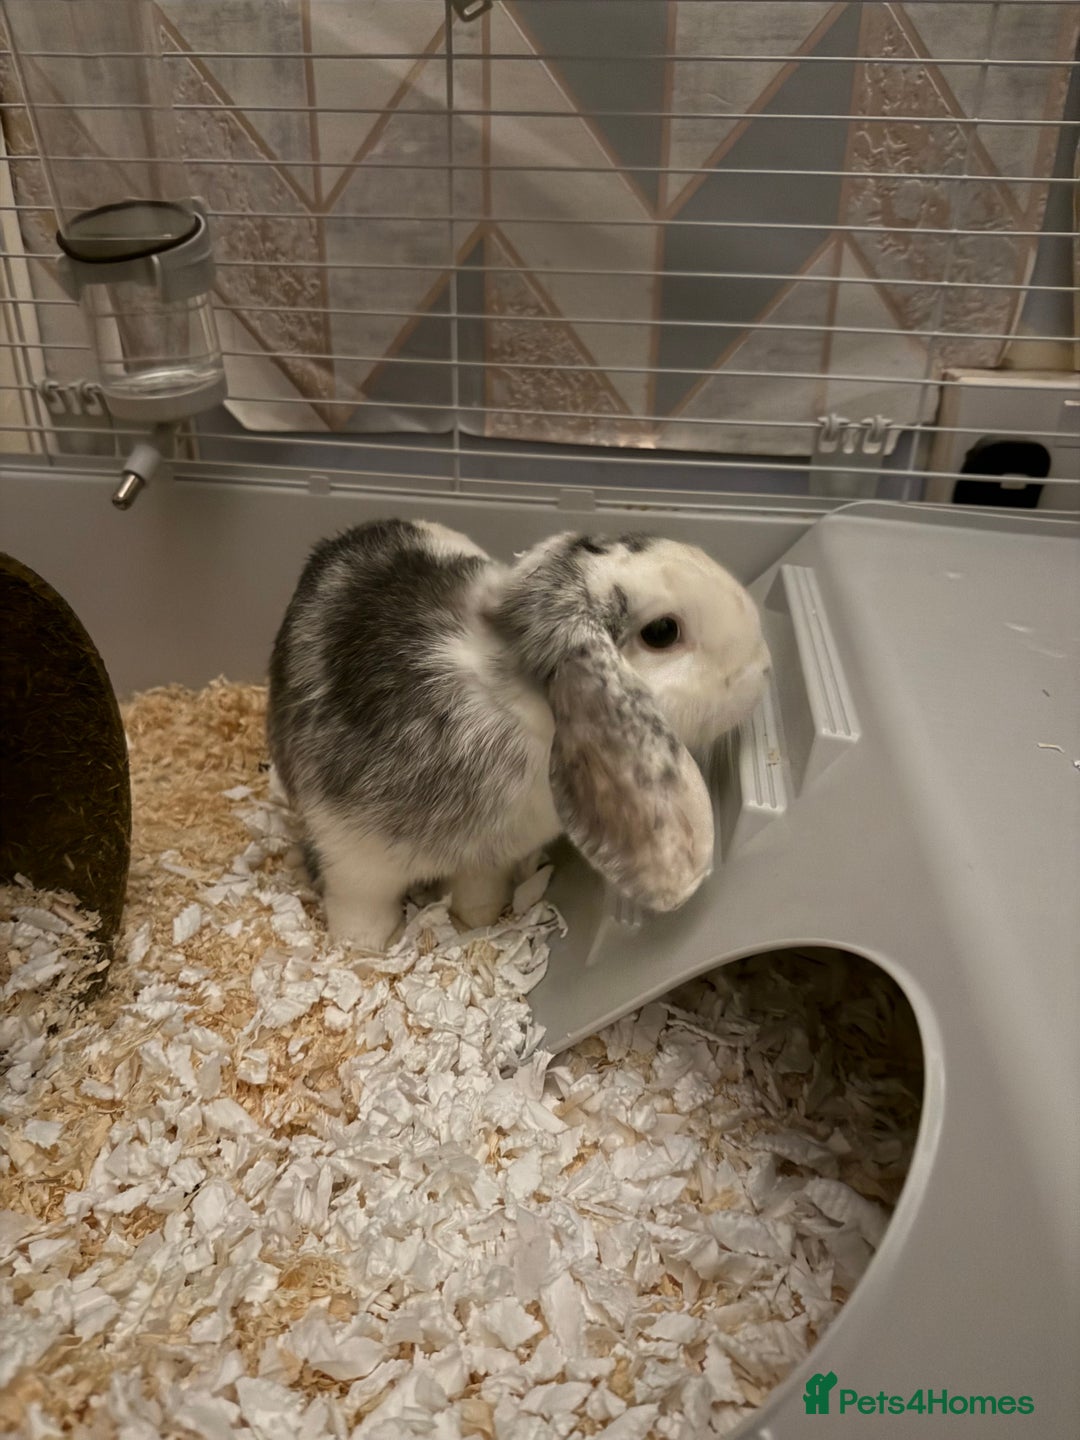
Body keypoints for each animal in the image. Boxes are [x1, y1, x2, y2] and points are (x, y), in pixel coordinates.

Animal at [267, 519, 771, 951]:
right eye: (662, 631)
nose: (763, 666)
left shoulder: (486, 860)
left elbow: (479, 892)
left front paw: (478, 921)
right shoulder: (353, 854)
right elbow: (360, 907)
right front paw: (361, 948)